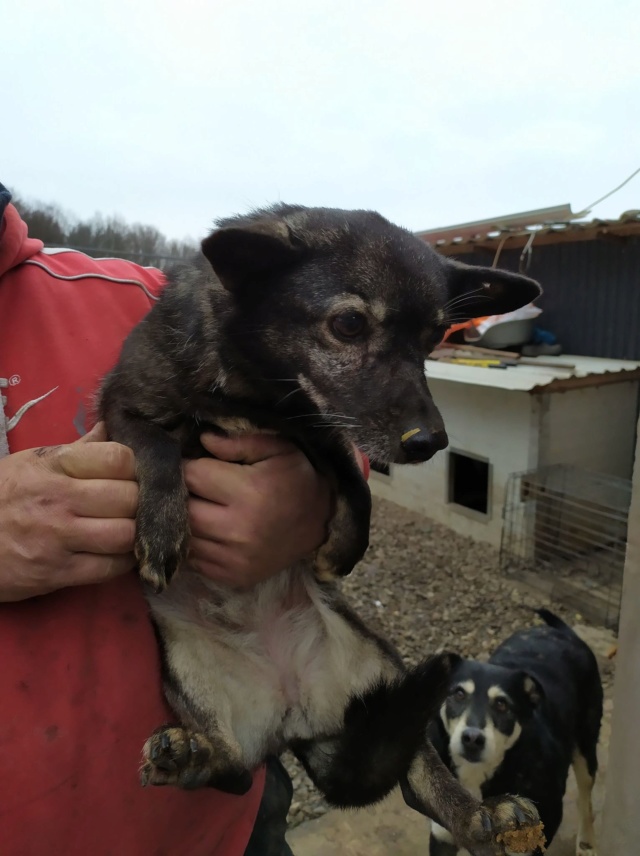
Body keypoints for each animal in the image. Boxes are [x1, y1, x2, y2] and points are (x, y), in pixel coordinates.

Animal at [102, 204, 544, 852]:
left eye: (434, 337)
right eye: (351, 324)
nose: (431, 442)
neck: (259, 394)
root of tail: (293, 717)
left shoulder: (323, 428)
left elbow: (350, 473)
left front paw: (345, 544)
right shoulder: (120, 410)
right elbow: (155, 447)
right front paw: (161, 529)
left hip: (382, 665)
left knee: (417, 776)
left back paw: (482, 817)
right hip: (188, 670)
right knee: (233, 768)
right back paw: (190, 755)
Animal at [428, 608, 604, 856]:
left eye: (502, 704)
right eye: (459, 694)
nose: (472, 739)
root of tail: (565, 633)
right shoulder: (442, 836)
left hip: (586, 748)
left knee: (585, 799)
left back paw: (586, 843)